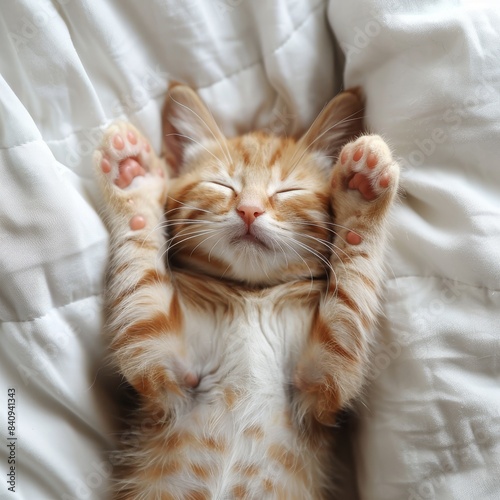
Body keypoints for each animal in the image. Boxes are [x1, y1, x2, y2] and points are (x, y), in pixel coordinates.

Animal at [93, 84, 398, 498]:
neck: (252, 298)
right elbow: (139, 273)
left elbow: (353, 288)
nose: (249, 210)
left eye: (287, 190)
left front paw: (362, 194)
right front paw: (132, 180)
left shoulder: (322, 376)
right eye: (222, 185)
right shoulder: (160, 360)